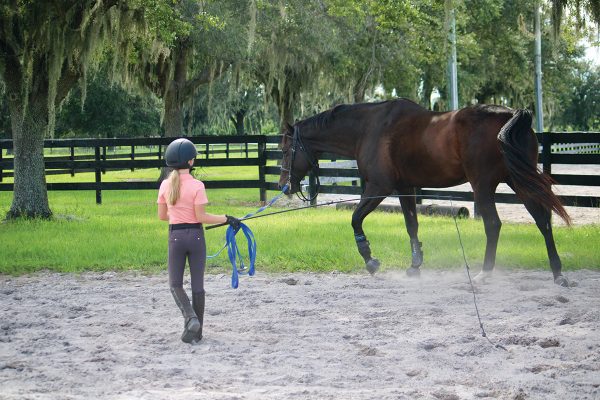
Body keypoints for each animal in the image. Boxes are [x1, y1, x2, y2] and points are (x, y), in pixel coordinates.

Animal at [278, 98, 572, 286]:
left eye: (285, 150)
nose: (285, 186)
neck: (369, 128)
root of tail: (509, 115)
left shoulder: (378, 187)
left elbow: (355, 219)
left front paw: (370, 260)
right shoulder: (405, 188)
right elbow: (412, 225)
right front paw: (415, 265)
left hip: (484, 186)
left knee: (494, 224)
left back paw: (485, 273)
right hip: (518, 180)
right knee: (543, 221)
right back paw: (557, 273)